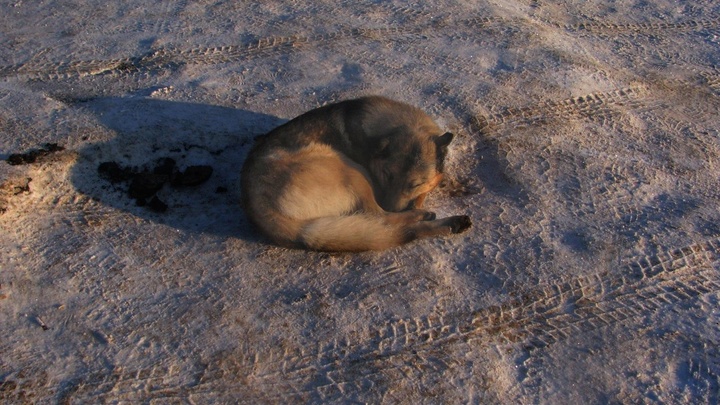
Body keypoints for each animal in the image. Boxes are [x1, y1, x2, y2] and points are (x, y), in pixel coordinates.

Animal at [242, 96, 472, 251]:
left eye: (414, 184)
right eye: (387, 176)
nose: (392, 205)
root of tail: (259, 208)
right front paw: (416, 207)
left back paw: (452, 223)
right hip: (351, 170)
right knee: (380, 217)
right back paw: (425, 217)